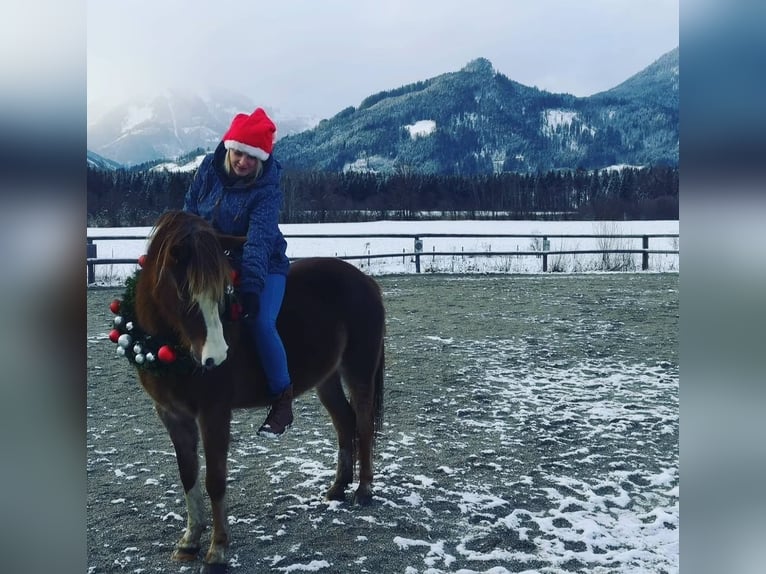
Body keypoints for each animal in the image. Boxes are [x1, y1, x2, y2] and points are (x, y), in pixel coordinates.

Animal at [132, 212, 388, 568]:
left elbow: (214, 479)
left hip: (359, 371)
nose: (216, 357)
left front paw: (218, 548)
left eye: (223, 293)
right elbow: (188, 476)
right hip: (327, 379)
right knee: (344, 422)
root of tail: (366, 282)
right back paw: (338, 487)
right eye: (183, 292)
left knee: (363, 425)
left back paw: (364, 490)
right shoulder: (173, 415)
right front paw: (189, 541)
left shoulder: (213, 413)